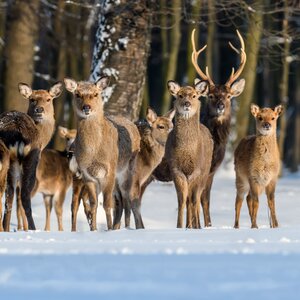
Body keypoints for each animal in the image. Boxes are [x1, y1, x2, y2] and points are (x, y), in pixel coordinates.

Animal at [0, 82, 62, 232]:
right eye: (32, 99)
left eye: (48, 99)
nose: (39, 109)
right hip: (29, 159)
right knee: (23, 195)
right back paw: (32, 228)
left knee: (8, 195)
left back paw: (6, 229)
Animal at [64, 76, 118, 231]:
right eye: (77, 94)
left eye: (95, 94)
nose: (86, 107)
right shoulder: (86, 175)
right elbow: (95, 203)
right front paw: (94, 228)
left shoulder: (110, 172)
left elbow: (107, 204)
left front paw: (109, 228)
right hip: (76, 179)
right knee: (74, 204)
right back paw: (74, 229)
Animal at [166, 79, 213, 227]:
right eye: (180, 95)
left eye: (194, 96)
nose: (187, 104)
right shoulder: (176, 170)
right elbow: (182, 200)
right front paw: (180, 226)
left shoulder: (197, 171)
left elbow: (193, 199)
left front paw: (193, 225)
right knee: (188, 199)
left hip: (206, 172)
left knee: (196, 199)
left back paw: (197, 224)